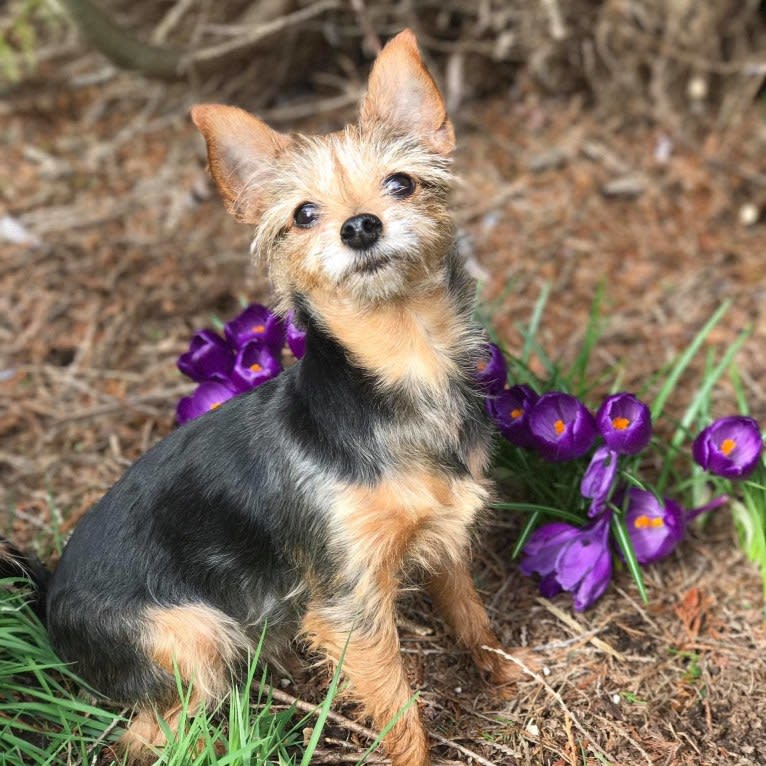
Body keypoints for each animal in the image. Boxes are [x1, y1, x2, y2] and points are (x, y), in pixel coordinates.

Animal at [1, 31, 528, 766]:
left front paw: (498, 668)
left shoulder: (446, 531)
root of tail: (49, 600)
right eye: (304, 214)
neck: (403, 365)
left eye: (401, 182)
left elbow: (468, 609)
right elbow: (397, 702)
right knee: (147, 735)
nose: (360, 226)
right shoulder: (349, 601)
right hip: (191, 640)